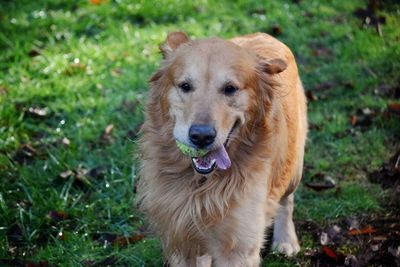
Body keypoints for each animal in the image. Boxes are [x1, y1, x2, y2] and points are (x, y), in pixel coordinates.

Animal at [138, 30, 306, 266]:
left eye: (230, 89)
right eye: (185, 86)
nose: (201, 136)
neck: (199, 184)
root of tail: (263, 34)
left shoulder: (238, 247)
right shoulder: (181, 240)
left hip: (294, 166)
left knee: (286, 200)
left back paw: (286, 240)